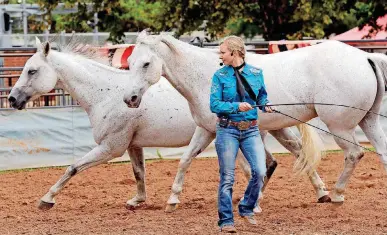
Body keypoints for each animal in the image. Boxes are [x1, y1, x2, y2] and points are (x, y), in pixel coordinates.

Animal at [123, 30, 387, 207]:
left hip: (340, 127)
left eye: (146, 63)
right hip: (369, 121)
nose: (130, 98)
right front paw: (173, 199)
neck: (206, 75)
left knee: (354, 154)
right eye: (131, 62)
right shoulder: (206, 129)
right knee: (381, 153)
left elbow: (251, 167)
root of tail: (366, 58)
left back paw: (337, 194)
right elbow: (185, 159)